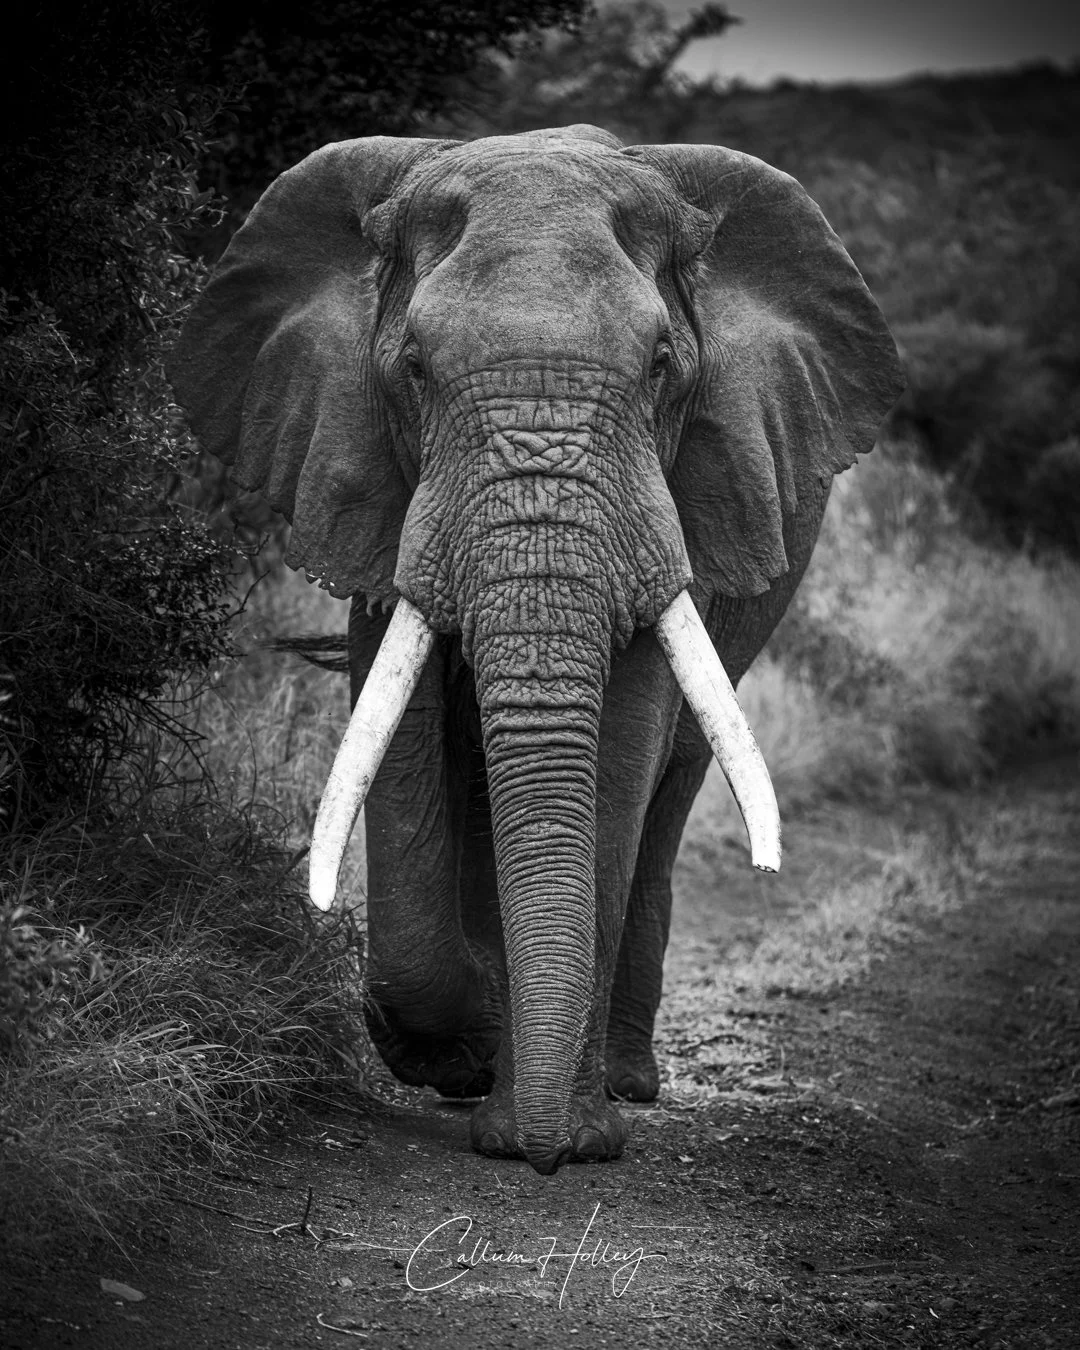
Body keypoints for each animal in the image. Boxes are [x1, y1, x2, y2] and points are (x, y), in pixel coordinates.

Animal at [168, 124, 903, 1175]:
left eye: (663, 364)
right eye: (414, 367)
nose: (549, 1155)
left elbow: (620, 752)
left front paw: (564, 1138)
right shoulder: (370, 477)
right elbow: (405, 738)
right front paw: (463, 1056)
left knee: (671, 787)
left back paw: (627, 1080)